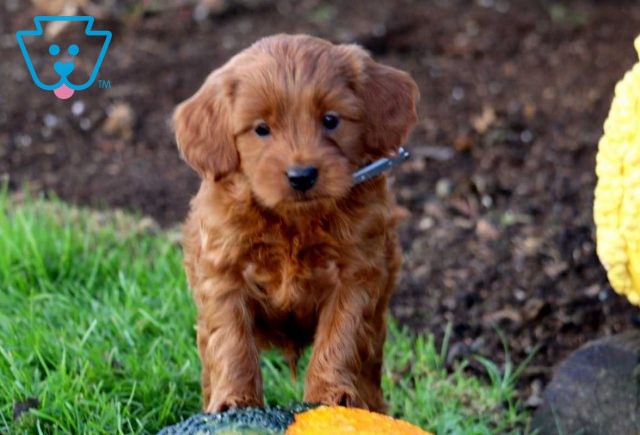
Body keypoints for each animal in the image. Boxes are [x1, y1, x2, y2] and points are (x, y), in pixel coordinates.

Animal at [174, 34, 420, 416]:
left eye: (331, 120)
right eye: (261, 129)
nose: (301, 176)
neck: (293, 220)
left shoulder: (356, 275)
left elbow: (340, 338)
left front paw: (332, 395)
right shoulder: (222, 273)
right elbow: (231, 341)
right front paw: (234, 400)